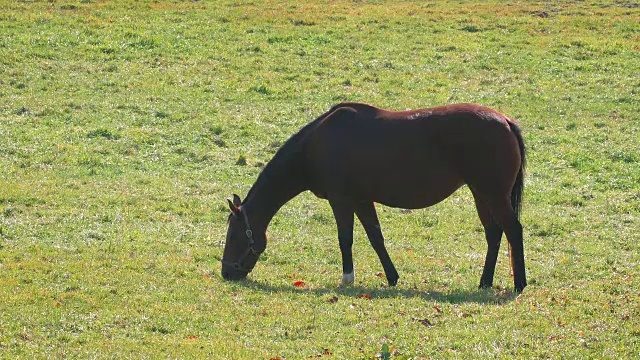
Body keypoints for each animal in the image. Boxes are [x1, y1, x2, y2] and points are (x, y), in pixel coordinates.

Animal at [222, 101, 528, 292]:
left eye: (234, 235)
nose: (226, 272)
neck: (317, 146)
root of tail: (505, 121)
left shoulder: (341, 200)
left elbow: (345, 239)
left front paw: (347, 278)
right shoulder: (362, 200)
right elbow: (375, 237)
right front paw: (392, 277)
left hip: (492, 194)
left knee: (513, 230)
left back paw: (519, 284)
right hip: (481, 194)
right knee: (494, 233)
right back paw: (485, 281)